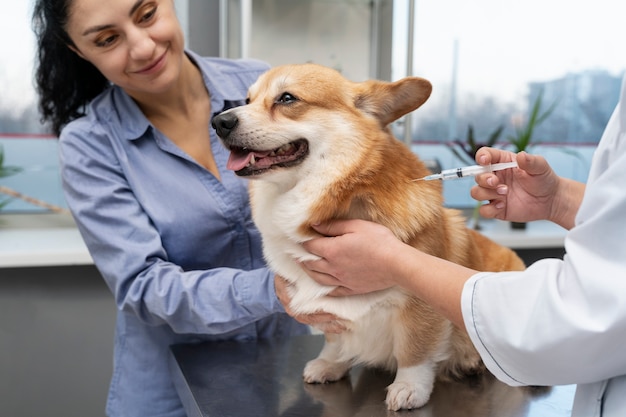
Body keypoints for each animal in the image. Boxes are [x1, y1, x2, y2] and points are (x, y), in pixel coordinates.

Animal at [212, 65, 524, 410]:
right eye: (247, 100)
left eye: (287, 98)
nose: (219, 122)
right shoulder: (331, 315)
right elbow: (335, 341)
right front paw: (330, 364)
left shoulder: (420, 307)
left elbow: (415, 351)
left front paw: (409, 388)